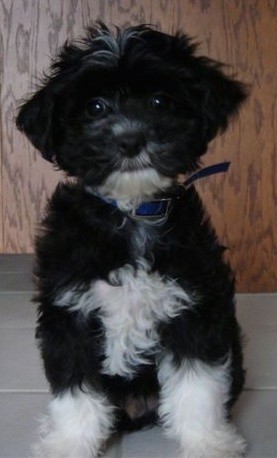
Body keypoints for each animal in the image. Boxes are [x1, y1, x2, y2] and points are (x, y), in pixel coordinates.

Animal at [16, 24, 246, 458]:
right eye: (95, 108)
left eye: (159, 101)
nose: (130, 140)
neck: (131, 211)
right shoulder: (70, 313)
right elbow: (75, 391)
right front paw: (68, 444)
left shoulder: (193, 309)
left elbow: (198, 387)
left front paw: (207, 442)